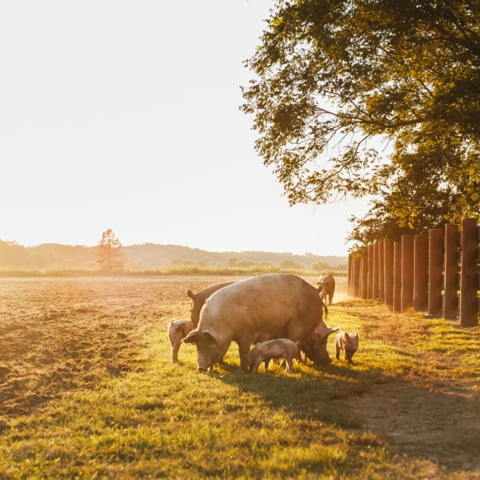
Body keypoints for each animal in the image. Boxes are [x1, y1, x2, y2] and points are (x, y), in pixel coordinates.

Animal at [182, 274, 340, 372]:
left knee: (293, 344)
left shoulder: (246, 331)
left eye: (210, 345)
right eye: (198, 346)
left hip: (295, 325)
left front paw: (242, 370)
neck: (225, 325)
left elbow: (243, 351)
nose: (201, 368)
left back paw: (283, 367)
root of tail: (315, 293)